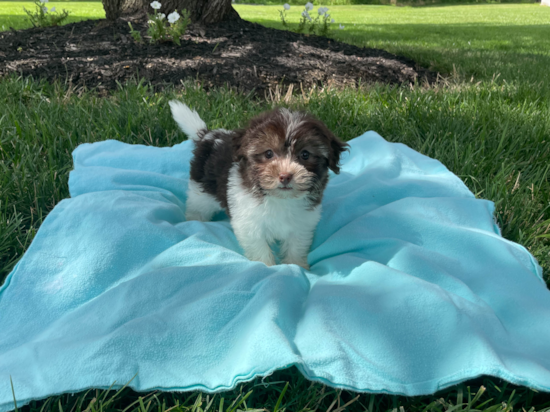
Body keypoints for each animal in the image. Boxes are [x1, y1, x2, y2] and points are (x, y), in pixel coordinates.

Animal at [170, 101, 350, 268]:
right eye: (269, 153)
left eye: (305, 154)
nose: (285, 176)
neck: (280, 199)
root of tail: (208, 135)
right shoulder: (250, 223)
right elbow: (259, 247)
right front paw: (267, 266)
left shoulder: (302, 224)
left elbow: (296, 246)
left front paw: (297, 265)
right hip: (201, 191)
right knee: (197, 207)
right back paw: (194, 221)